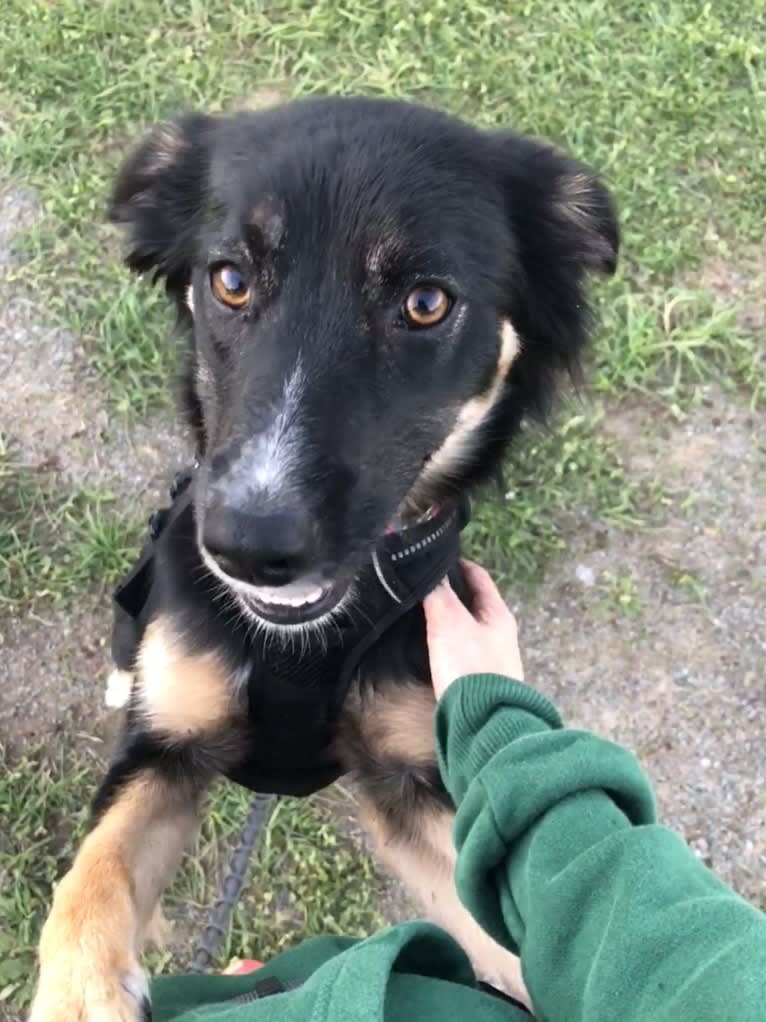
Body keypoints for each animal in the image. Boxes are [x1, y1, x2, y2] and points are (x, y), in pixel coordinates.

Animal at [31, 97, 616, 1021]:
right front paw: (80, 989)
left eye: (425, 302)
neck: (298, 645)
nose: (248, 548)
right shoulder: (164, 757)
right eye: (230, 280)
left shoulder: (410, 788)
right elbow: (98, 866)